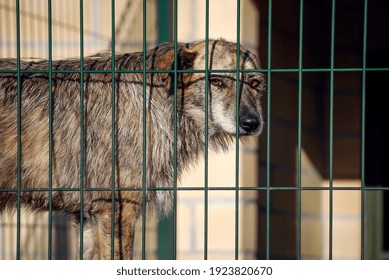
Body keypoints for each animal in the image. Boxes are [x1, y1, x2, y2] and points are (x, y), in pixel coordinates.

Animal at [0, 38, 266, 260]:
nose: (252, 123)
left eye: (255, 83)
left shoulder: (89, 216)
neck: (155, 102)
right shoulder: (116, 210)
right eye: (216, 80)